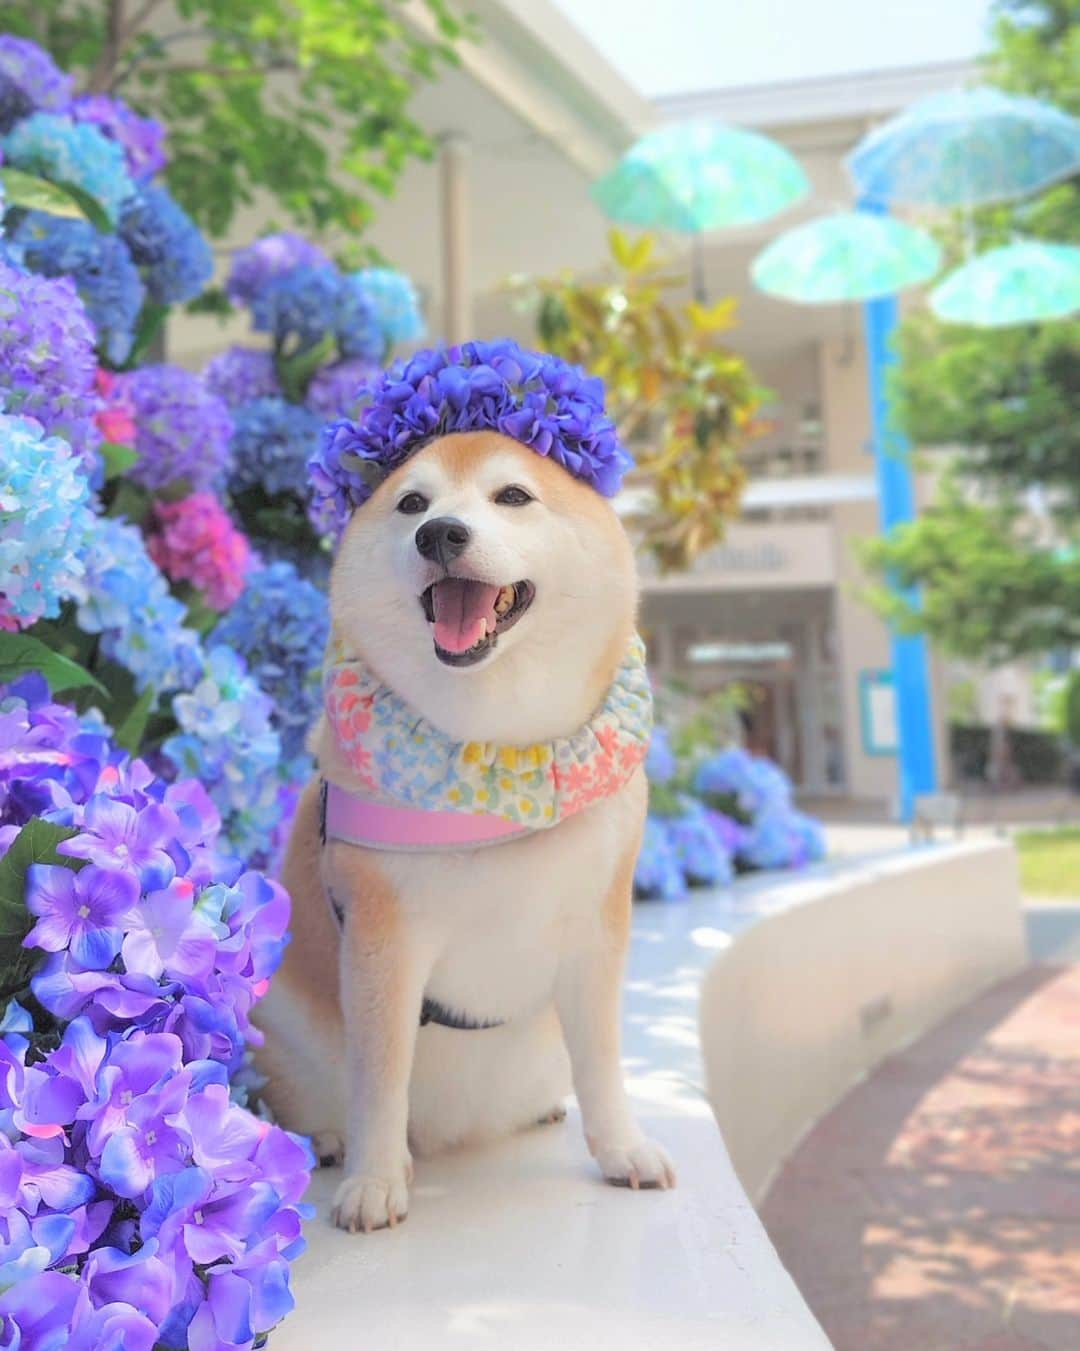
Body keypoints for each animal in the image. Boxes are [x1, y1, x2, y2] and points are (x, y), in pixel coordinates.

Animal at [255, 364, 675, 1237]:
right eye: (412, 503)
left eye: (512, 495)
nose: (440, 534)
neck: (496, 759)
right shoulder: (381, 940)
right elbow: (380, 1079)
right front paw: (376, 1179)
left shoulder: (595, 932)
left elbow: (603, 1062)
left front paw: (621, 1147)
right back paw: (329, 1138)